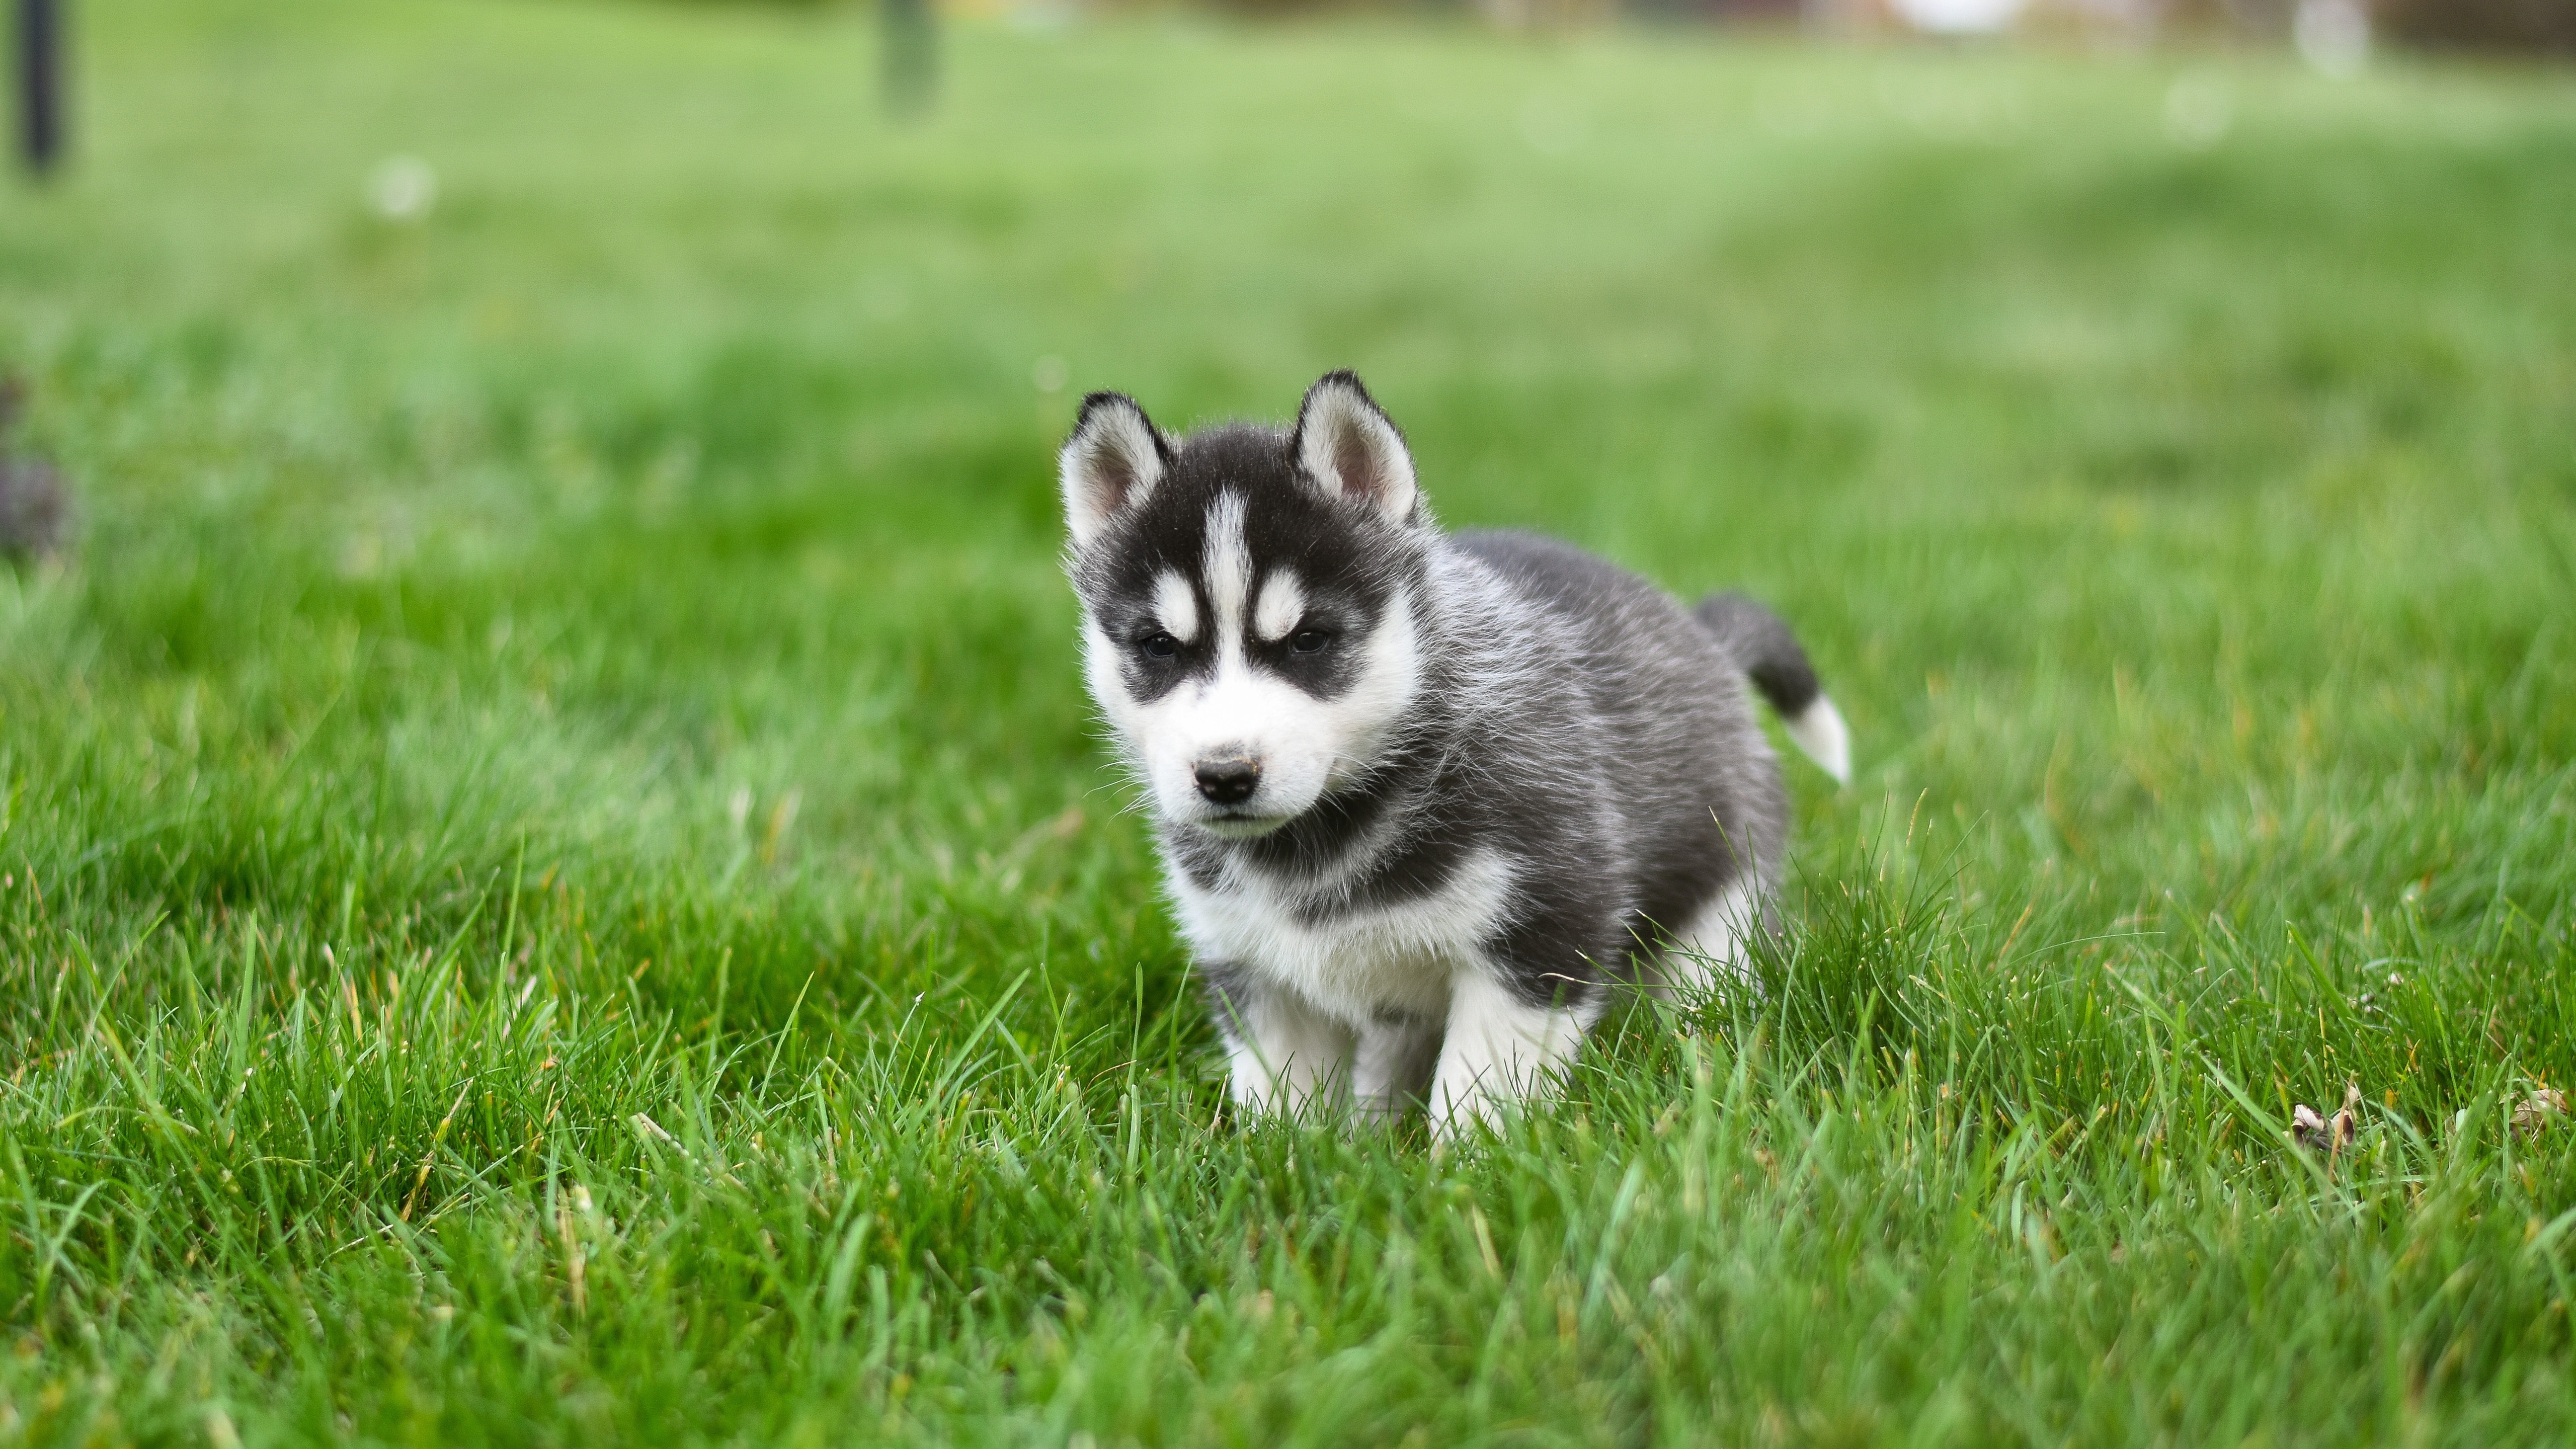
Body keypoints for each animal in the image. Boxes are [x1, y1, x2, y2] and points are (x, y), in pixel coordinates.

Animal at [1056, 368, 1844, 1129]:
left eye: (1309, 640)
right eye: (1159, 646)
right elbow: (1281, 1107)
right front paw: (1285, 1163)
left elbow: (1478, 1095)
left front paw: (1469, 1167)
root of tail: (1701, 634)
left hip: (1716, 919)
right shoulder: (1258, 973)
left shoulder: (1539, 933)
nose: (1224, 775)